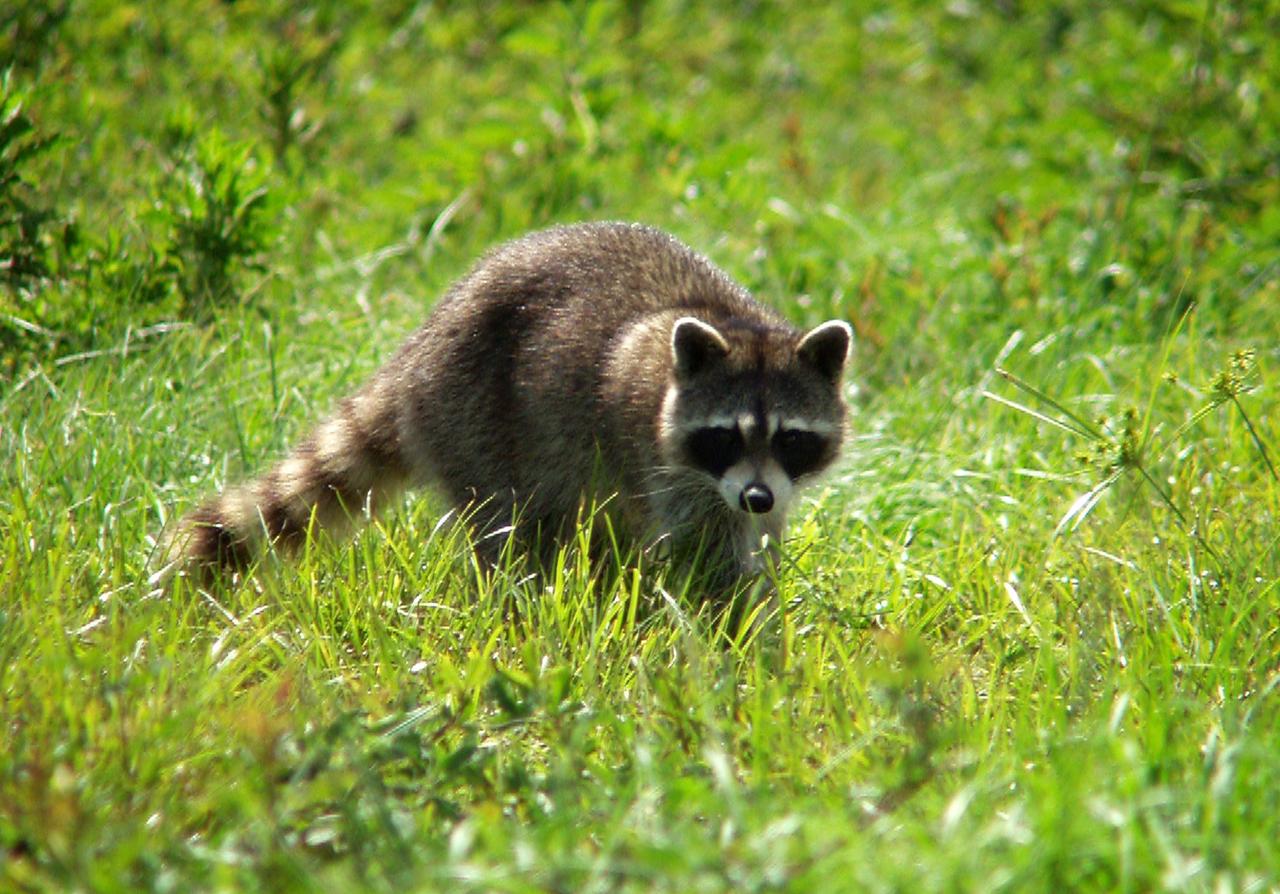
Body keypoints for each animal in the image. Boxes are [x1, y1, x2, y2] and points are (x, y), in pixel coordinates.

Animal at [159, 222, 851, 588]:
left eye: (790, 438)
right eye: (725, 435)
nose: (756, 496)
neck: (730, 323)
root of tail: (420, 349)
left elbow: (755, 537)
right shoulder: (668, 465)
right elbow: (703, 553)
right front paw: (728, 619)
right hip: (472, 420)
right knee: (517, 529)